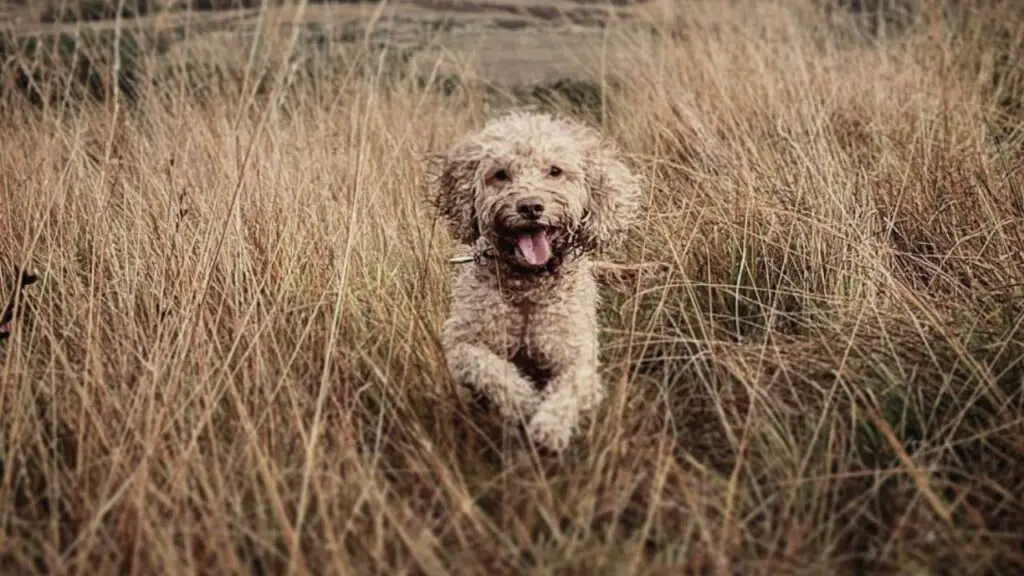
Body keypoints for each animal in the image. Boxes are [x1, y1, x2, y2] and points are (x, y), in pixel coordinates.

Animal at [432, 112, 647, 450]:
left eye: (555, 171)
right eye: (501, 174)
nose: (530, 206)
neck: (527, 286)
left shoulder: (577, 356)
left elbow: (569, 390)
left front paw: (549, 427)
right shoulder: (462, 344)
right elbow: (490, 369)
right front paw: (524, 401)